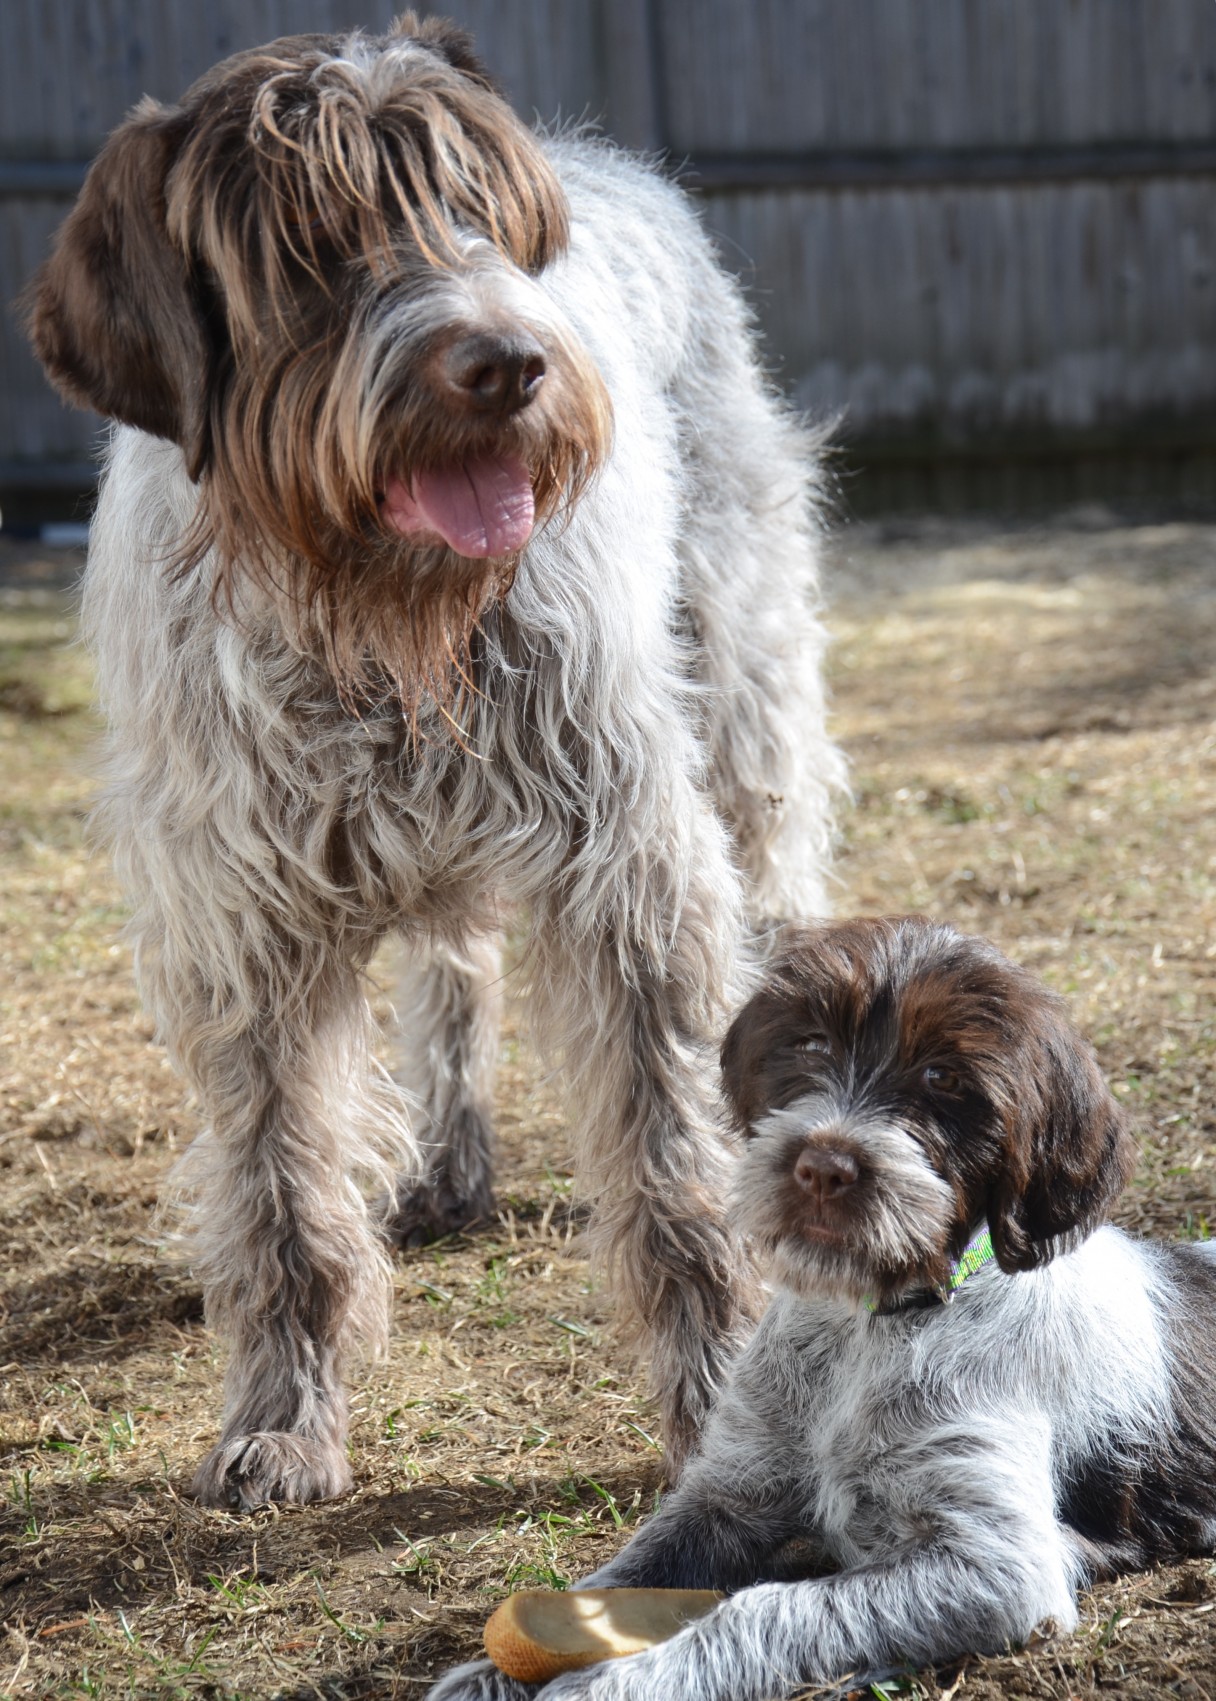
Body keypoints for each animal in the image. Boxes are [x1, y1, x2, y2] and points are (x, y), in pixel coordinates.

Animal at [28, 9, 846, 1503]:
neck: (369, 602)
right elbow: (283, 1194)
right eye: (310, 243)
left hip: (745, 702)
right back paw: (450, 1167)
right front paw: (284, 1416)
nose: (511, 365)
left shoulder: (626, 864)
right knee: (455, 964)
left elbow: (673, 1169)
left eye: (482, 218)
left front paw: (715, 1401)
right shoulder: (241, 921)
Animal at [430, 918, 1216, 1701]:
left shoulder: (994, 1565)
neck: (867, 1324)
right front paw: (489, 1673)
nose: (822, 1167)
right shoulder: (724, 1494)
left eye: (944, 1078)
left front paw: (610, 1682)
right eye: (810, 1043)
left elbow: (762, 1609)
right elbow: (617, 1576)